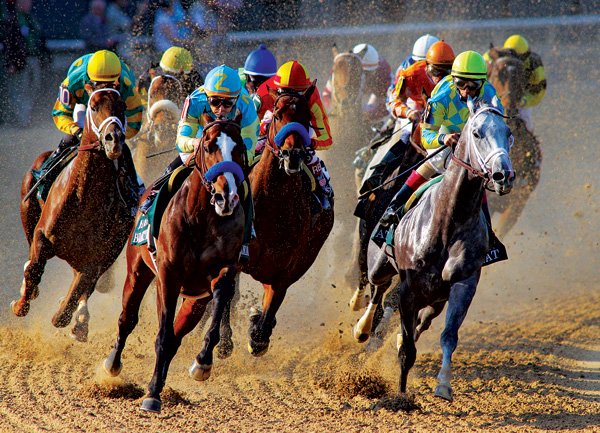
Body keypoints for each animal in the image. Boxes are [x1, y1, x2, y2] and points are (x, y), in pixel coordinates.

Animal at [14, 88, 134, 340]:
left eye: (122, 106)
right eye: (94, 106)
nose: (114, 139)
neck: (84, 196)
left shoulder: (97, 255)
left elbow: (79, 289)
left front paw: (67, 315)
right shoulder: (43, 234)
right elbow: (34, 268)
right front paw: (20, 304)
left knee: (88, 285)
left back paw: (80, 321)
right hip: (27, 203)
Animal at [102, 116, 247, 414]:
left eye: (239, 147)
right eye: (208, 145)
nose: (226, 196)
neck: (202, 220)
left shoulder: (221, 273)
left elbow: (216, 305)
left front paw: (202, 362)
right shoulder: (168, 277)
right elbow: (162, 334)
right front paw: (152, 395)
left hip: (194, 299)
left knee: (177, 334)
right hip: (138, 270)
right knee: (127, 318)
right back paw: (113, 363)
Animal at [356, 100, 516, 398]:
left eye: (508, 133)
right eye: (476, 133)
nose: (504, 176)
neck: (447, 222)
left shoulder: (463, 284)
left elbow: (448, 336)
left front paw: (443, 385)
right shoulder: (409, 289)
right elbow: (407, 349)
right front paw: (400, 394)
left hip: (436, 299)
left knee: (421, 320)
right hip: (379, 265)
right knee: (376, 289)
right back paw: (362, 329)